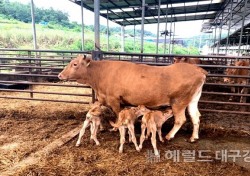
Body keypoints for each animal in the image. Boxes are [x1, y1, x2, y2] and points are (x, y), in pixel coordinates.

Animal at [58, 54, 207, 142]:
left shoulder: (114, 99)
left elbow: (117, 114)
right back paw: (193, 137)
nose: (60, 75)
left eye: (75, 64)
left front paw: (115, 128)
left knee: (180, 119)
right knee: (196, 116)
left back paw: (169, 135)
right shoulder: (106, 98)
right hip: (192, 100)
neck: (99, 75)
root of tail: (198, 69)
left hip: (178, 102)